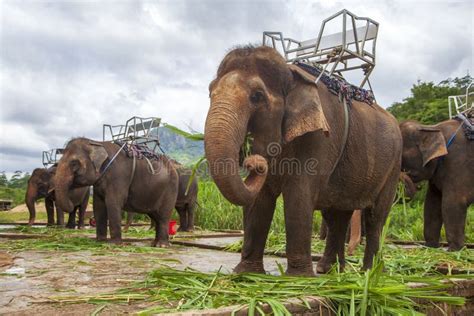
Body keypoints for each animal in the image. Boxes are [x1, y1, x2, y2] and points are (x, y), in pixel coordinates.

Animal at [206, 45, 402, 276]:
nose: (252, 161)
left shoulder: (320, 138)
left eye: (257, 96)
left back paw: (370, 273)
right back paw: (330, 270)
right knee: (337, 215)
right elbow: (260, 199)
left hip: (393, 167)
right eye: (210, 93)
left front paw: (298, 278)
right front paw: (247, 273)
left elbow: (298, 195)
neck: (292, 76)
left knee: (375, 217)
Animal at [400, 118, 474, 249]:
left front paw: (455, 250)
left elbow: (452, 203)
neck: (432, 128)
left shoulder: (458, 162)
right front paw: (430, 247)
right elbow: (432, 204)